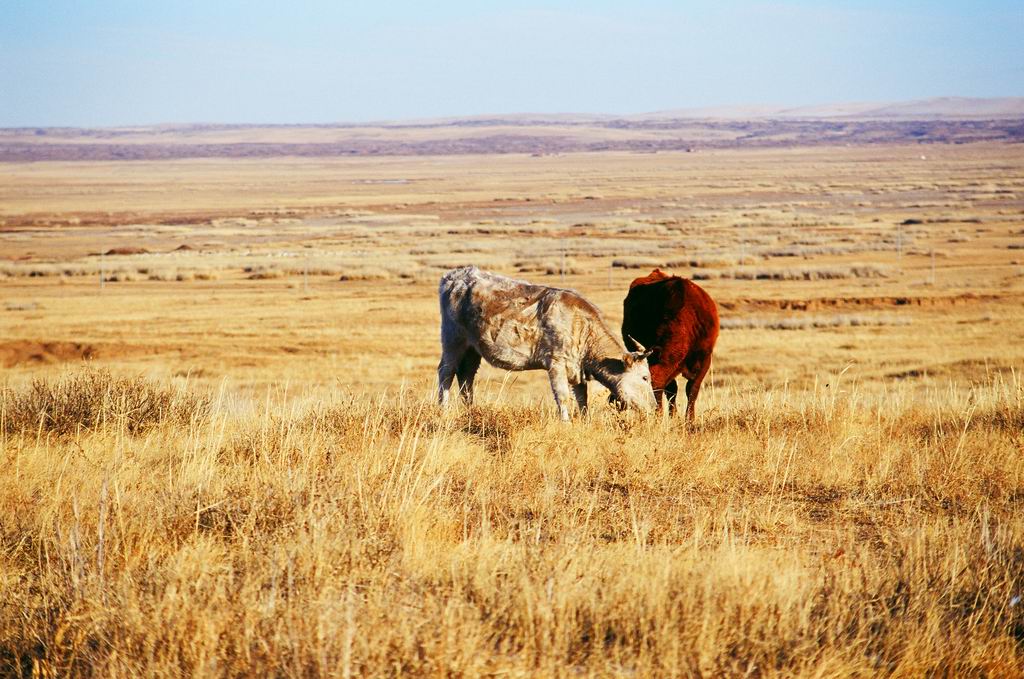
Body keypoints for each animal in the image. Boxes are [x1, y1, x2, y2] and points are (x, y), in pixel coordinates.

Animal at [436, 266, 651, 419]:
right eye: (645, 377)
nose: (653, 406)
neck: (581, 326)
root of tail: (454, 275)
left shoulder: (577, 370)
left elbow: (582, 399)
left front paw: (584, 421)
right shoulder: (556, 364)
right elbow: (563, 397)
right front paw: (566, 424)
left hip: (473, 348)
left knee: (466, 376)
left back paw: (470, 410)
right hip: (453, 340)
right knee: (446, 372)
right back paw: (443, 410)